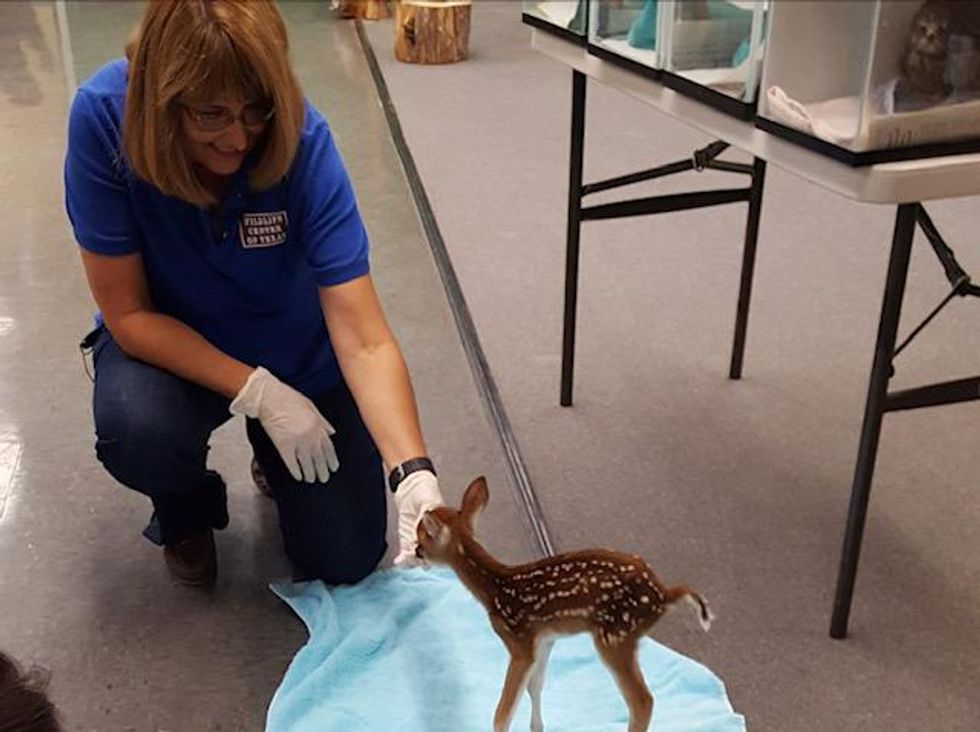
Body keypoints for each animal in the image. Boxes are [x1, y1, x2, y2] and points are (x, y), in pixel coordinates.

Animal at [415, 476, 713, 732]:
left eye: (421, 542)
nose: (415, 552)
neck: (496, 589)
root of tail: (663, 594)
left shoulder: (519, 641)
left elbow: (502, 713)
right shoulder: (545, 639)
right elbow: (535, 686)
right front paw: (537, 727)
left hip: (615, 634)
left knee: (642, 701)